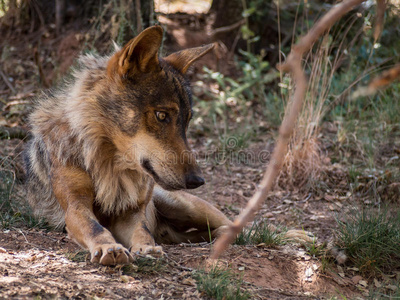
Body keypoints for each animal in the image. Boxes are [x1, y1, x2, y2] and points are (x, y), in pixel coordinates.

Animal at [24, 25, 231, 264]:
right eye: (162, 115)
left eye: (187, 121)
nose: (198, 180)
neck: (109, 162)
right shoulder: (75, 206)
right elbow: (95, 227)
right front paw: (108, 247)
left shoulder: (131, 213)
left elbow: (143, 231)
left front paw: (147, 249)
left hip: (181, 205)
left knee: (232, 225)